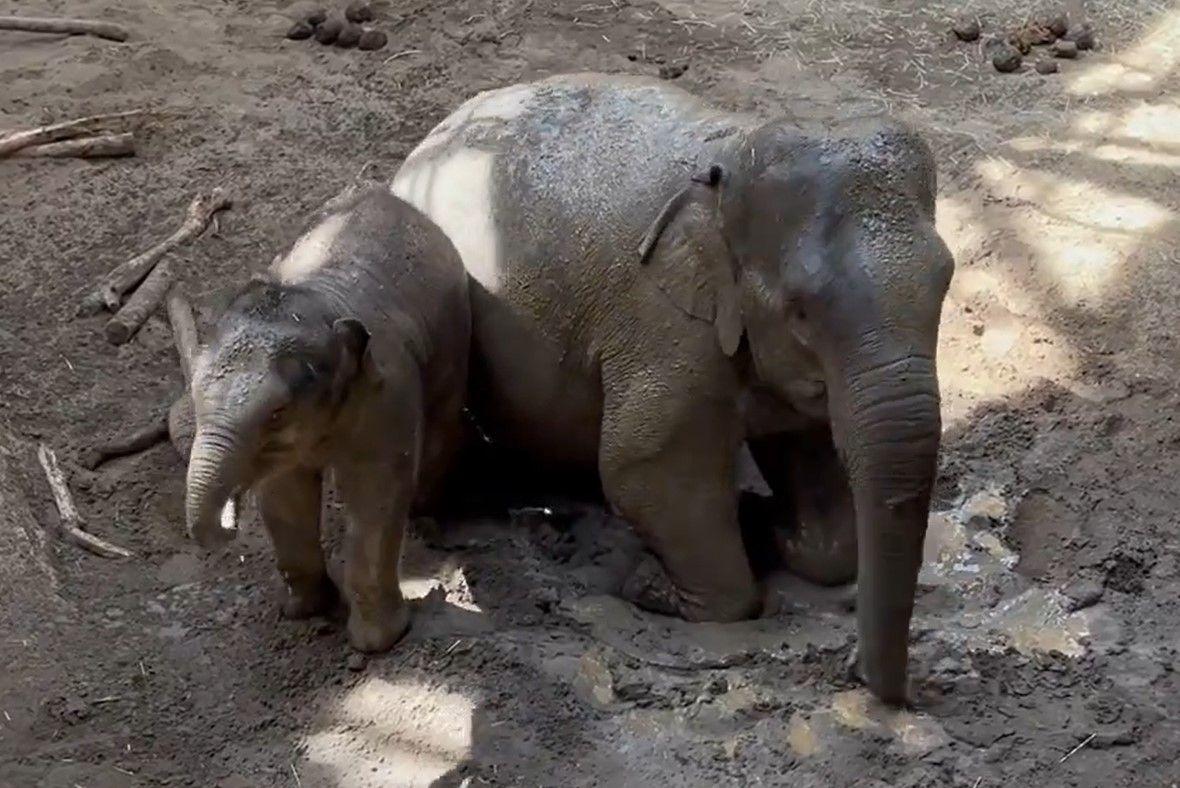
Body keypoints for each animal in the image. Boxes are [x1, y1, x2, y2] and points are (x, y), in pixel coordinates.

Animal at [184, 185, 469, 651]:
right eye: (193, 397)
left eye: (277, 413)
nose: (229, 519)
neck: (321, 303)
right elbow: (285, 494)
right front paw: (304, 611)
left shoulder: (387, 396)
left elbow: (376, 493)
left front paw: (377, 643)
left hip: (453, 349)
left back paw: (425, 522)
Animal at [391, 73, 953, 703]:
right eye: (802, 311)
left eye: (946, 280)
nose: (859, 673)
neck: (733, 151)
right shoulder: (665, 325)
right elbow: (642, 465)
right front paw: (647, 586)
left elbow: (815, 470)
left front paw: (771, 528)